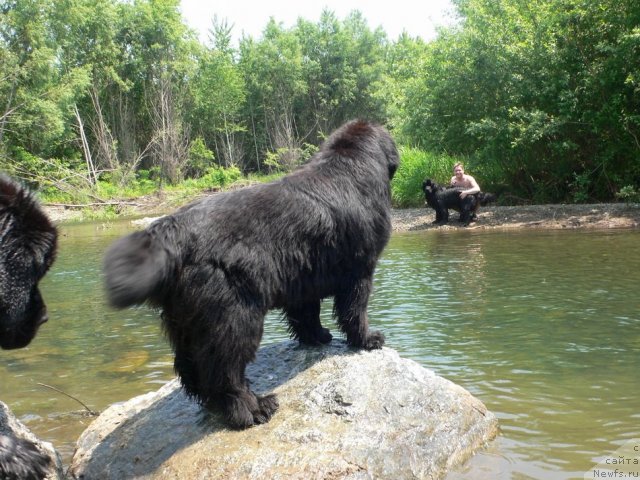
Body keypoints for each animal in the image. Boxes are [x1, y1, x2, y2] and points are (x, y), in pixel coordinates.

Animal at [104, 119, 400, 428]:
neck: (347, 168)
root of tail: (171, 231)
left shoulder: (304, 277)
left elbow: (307, 315)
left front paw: (317, 336)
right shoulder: (360, 272)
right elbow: (354, 311)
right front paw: (367, 339)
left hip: (184, 322)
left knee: (191, 368)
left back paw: (212, 404)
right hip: (236, 316)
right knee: (225, 370)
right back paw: (253, 407)